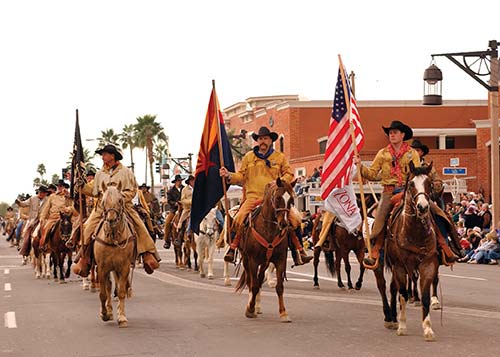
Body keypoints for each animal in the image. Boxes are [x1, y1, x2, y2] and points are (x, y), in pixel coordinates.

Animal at [92, 186, 135, 328]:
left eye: (120, 200)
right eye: (103, 201)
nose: (111, 220)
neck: (113, 238)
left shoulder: (124, 268)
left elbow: (121, 292)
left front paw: (122, 317)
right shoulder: (101, 268)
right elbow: (103, 294)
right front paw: (104, 314)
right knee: (108, 286)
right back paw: (109, 311)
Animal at [235, 177, 294, 320]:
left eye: (291, 200)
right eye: (277, 198)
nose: (284, 224)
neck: (269, 229)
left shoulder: (280, 260)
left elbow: (279, 287)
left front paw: (283, 312)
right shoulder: (253, 261)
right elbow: (254, 285)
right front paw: (250, 309)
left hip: (265, 262)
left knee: (260, 278)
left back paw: (257, 305)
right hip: (246, 259)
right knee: (251, 281)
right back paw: (252, 305)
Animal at [374, 161, 440, 340]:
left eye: (429, 183)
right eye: (411, 184)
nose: (422, 207)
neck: (415, 231)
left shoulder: (428, 264)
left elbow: (425, 296)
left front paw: (428, 328)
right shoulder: (399, 266)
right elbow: (402, 294)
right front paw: (402, 326)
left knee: (392, 288)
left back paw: (393, 317)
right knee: (382, 286)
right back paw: (389, 318)